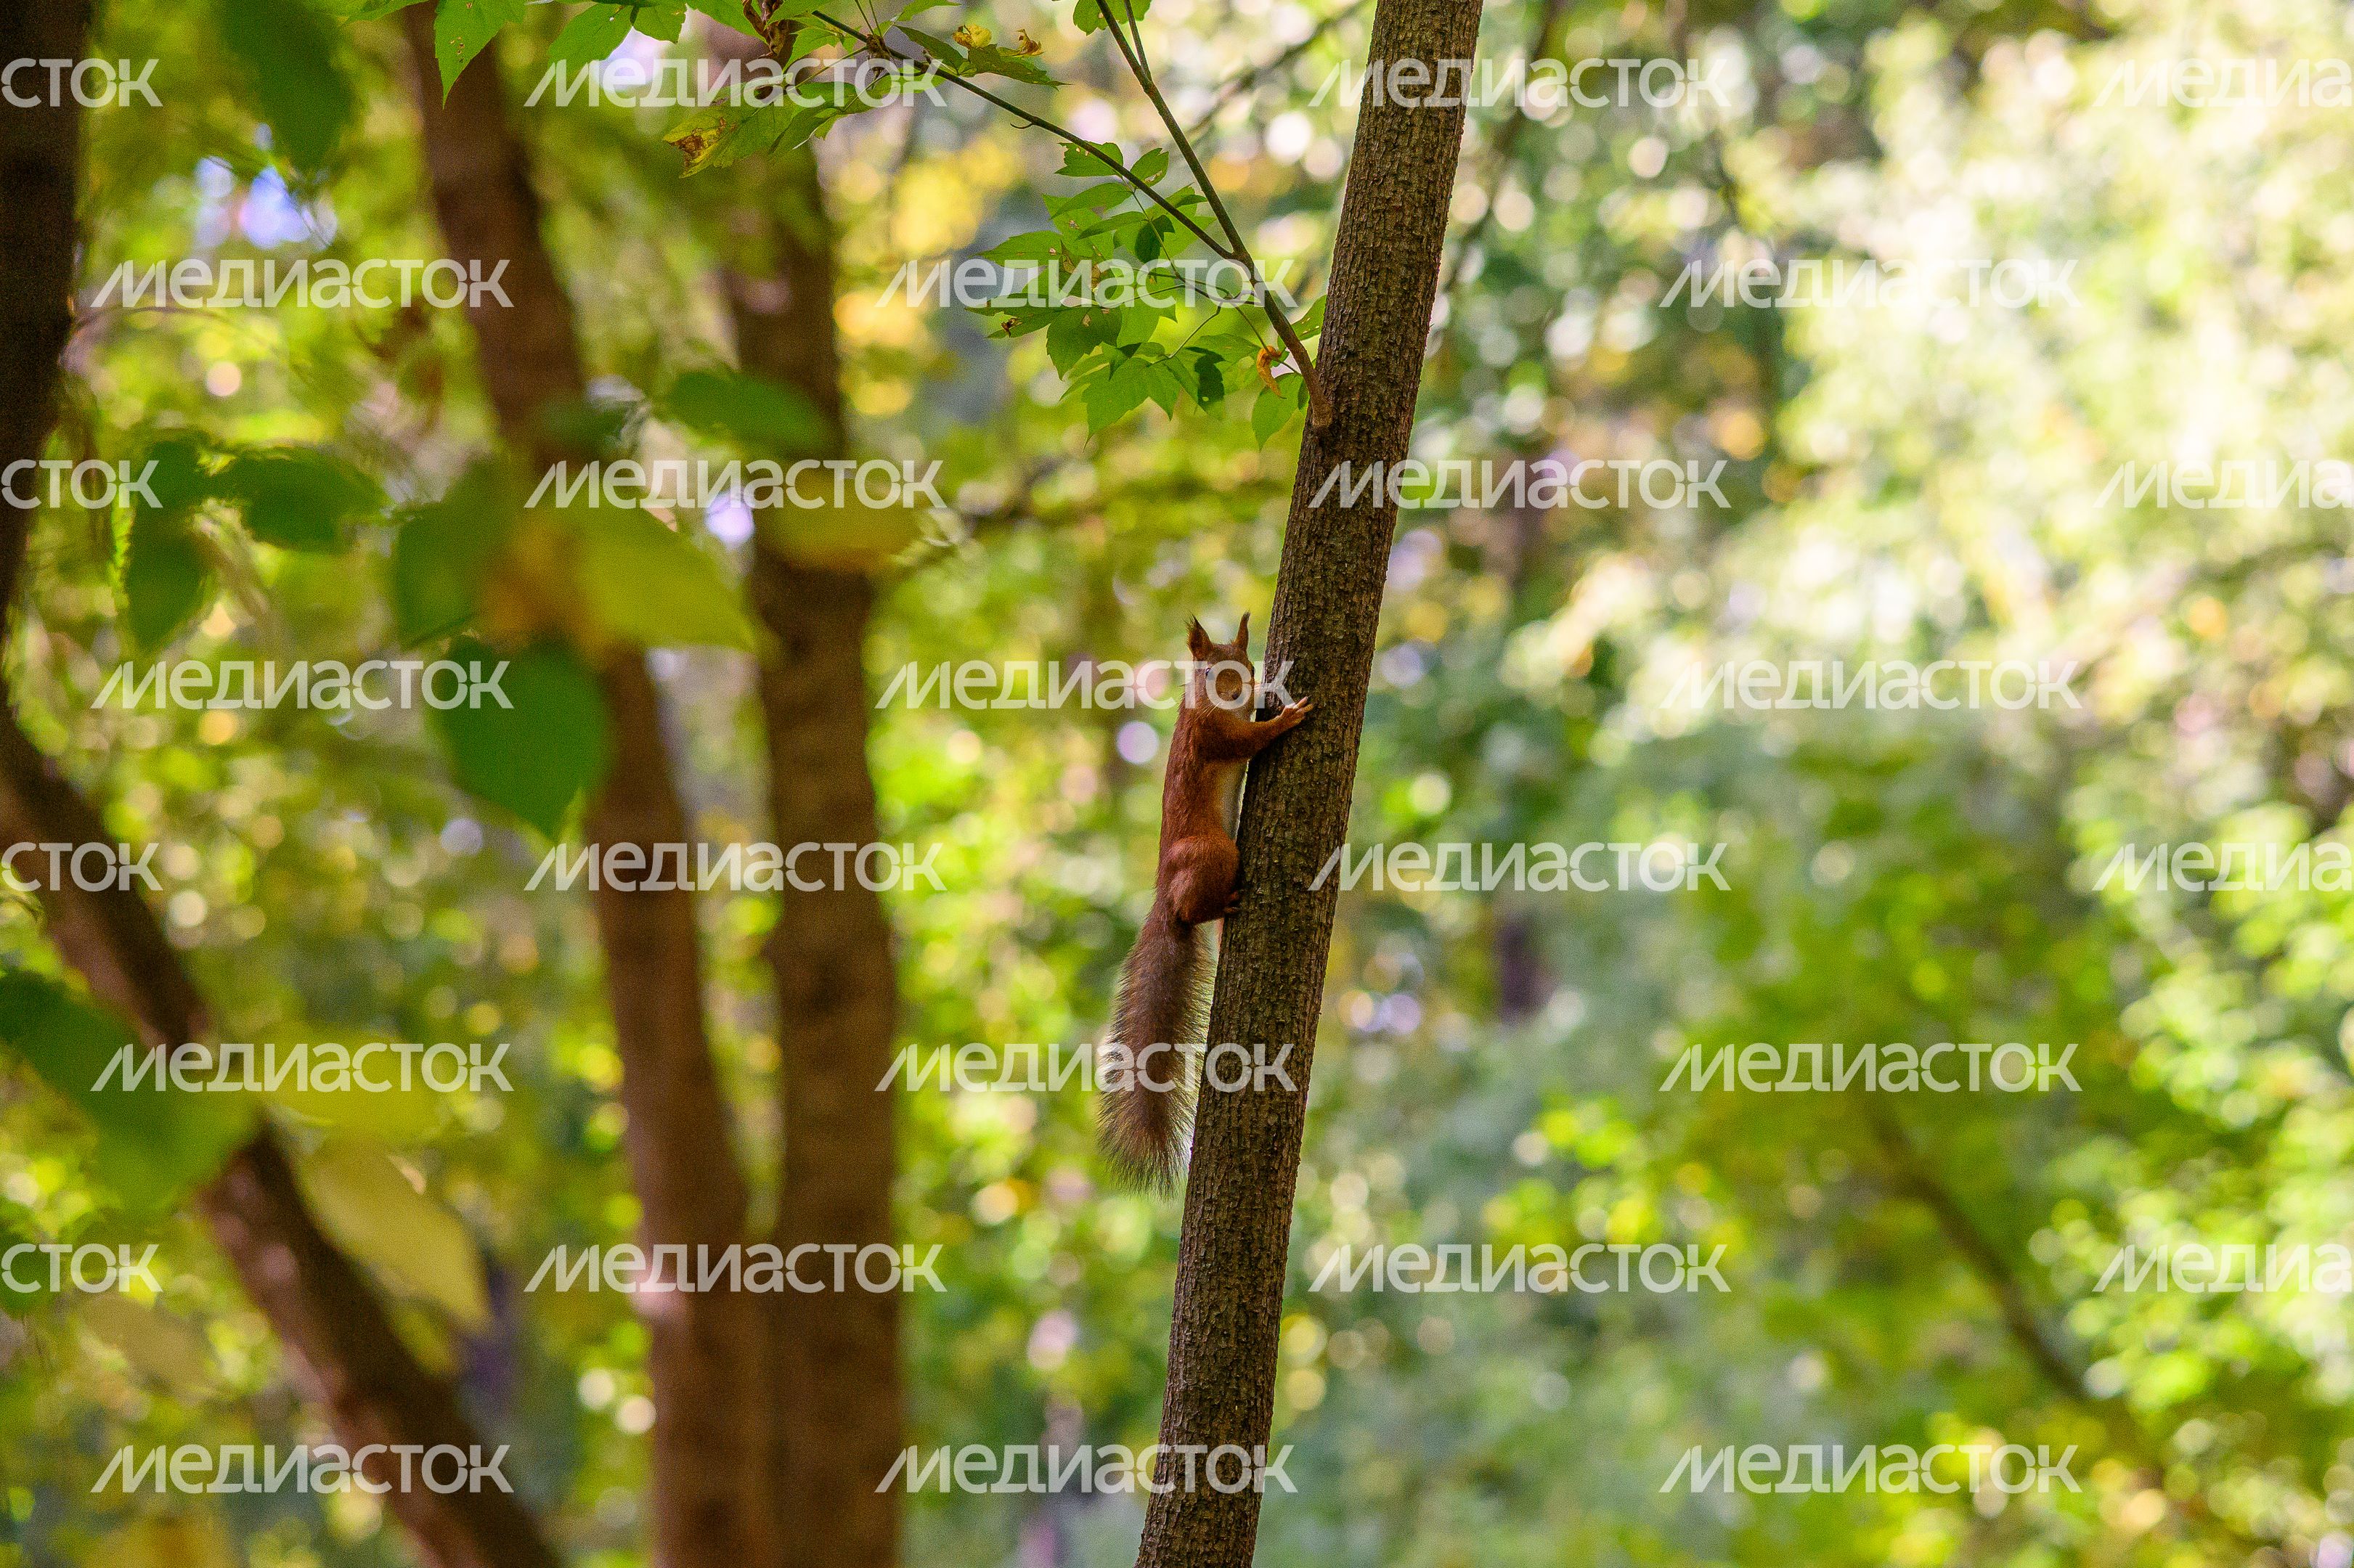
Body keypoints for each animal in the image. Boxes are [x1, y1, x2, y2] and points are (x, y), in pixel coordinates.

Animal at [1098, 614, 1313, 1188]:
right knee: (1190, 909)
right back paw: (1221, 906)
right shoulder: (1214, 735)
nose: (1240, 690)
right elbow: (1250, 739)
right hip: (1215, 853)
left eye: (1246, 663)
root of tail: (1163, 891)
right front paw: (1289, 715)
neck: (1205, 707)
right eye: (1211, 672)